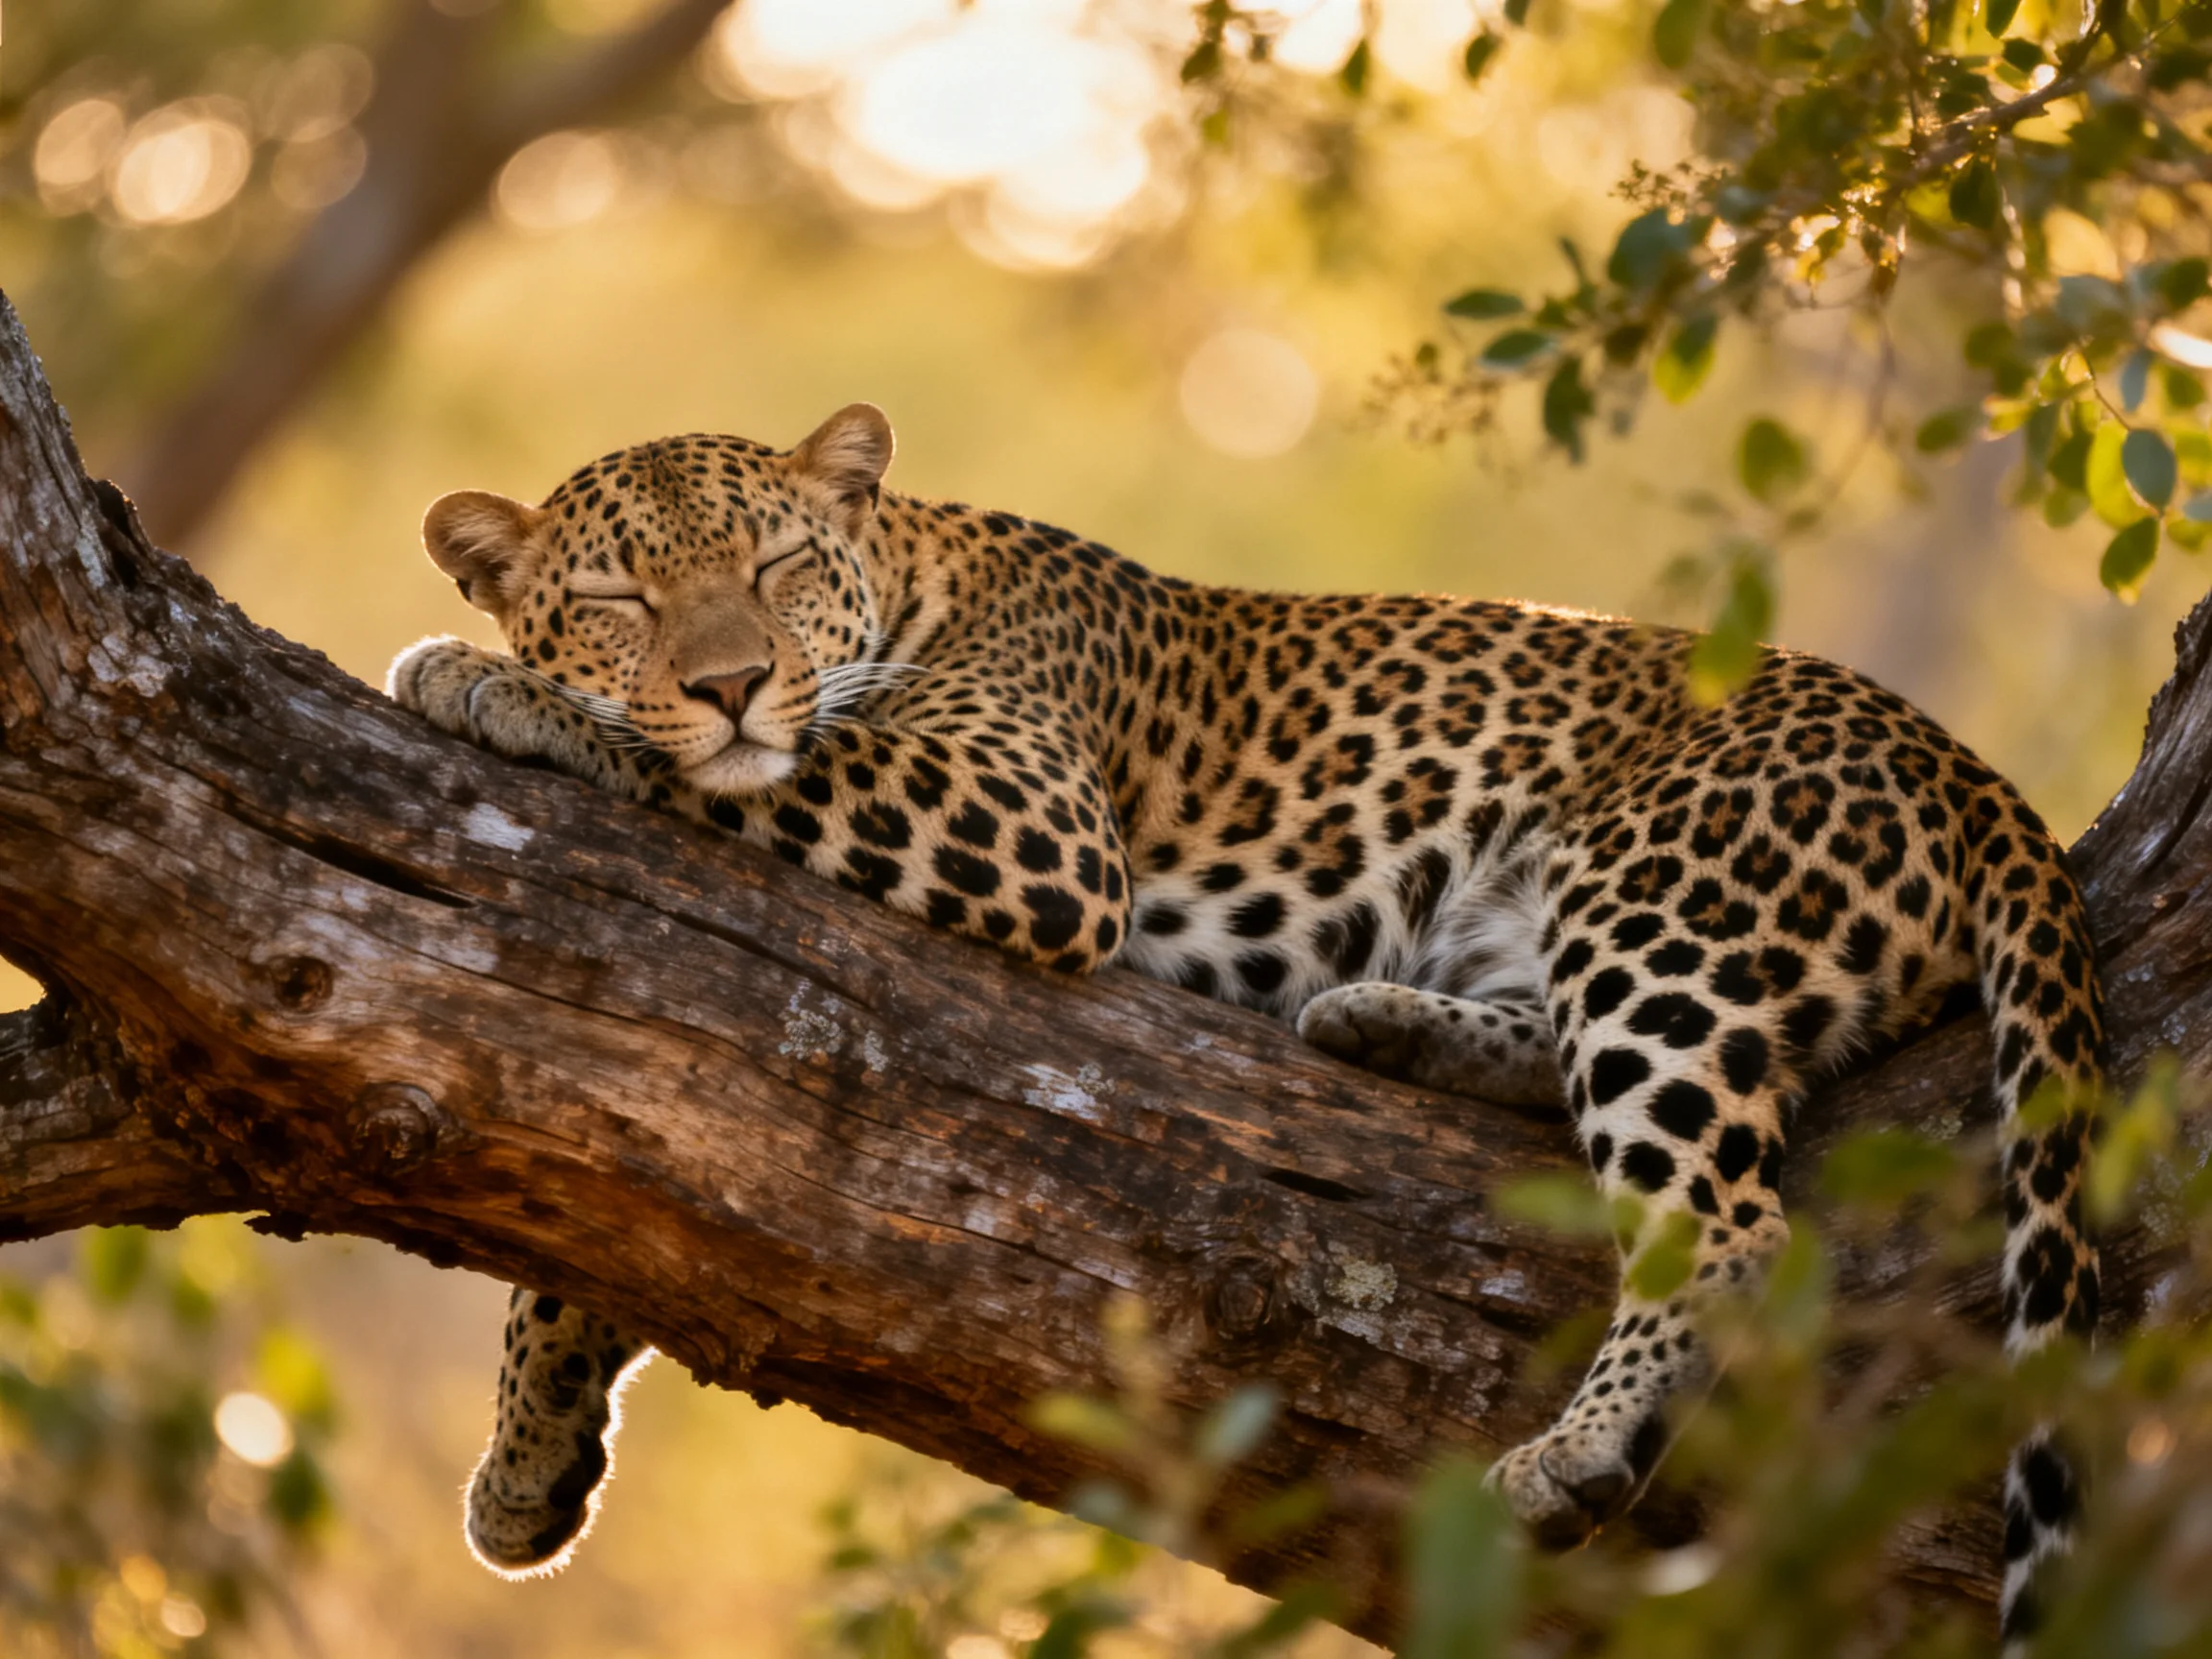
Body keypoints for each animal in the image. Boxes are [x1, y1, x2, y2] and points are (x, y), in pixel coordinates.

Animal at [388, 403, 2102, 1641]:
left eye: (776, 570)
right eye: (616, 597)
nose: (734, 680)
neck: (917, 570)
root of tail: (1964, 762)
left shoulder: (1026, 819)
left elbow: (761, 765)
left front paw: (479, 679)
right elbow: (596, 1216)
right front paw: (530, 1461)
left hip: (1660, 903)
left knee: (1732, 1219)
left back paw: (1582, 1445)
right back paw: (1378, 1020)